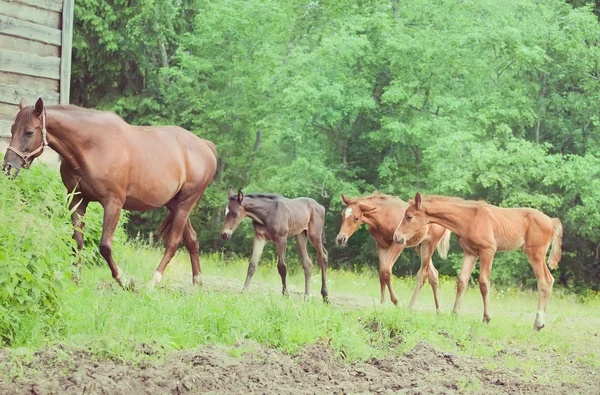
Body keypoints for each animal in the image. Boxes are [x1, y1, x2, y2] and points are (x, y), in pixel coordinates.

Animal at [2, 98, 218, 290]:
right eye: (12, 130)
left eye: (29, 132)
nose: (8, 167)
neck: (92, 145)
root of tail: (205, 146)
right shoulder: (78, 199)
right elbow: (77, 241)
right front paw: (75, 281)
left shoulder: (113, 203)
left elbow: (105, 246)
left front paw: (125, 282)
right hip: (174, 204)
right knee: (191, 239)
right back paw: (197, 283)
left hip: (185, 203)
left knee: (174, 243)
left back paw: (152, 283)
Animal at [394, 193, 564, 332]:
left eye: (409, 216)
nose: (396, 237)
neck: (470, 218)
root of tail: (551, 221)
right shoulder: (470, 253)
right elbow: (462, 281)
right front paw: (455, 314)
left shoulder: (488, 251)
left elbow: (483, 283)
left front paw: (486, 318)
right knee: (549, 280)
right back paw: (541, 323)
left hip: (535, 253)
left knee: (544, 281)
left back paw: (537, 325)